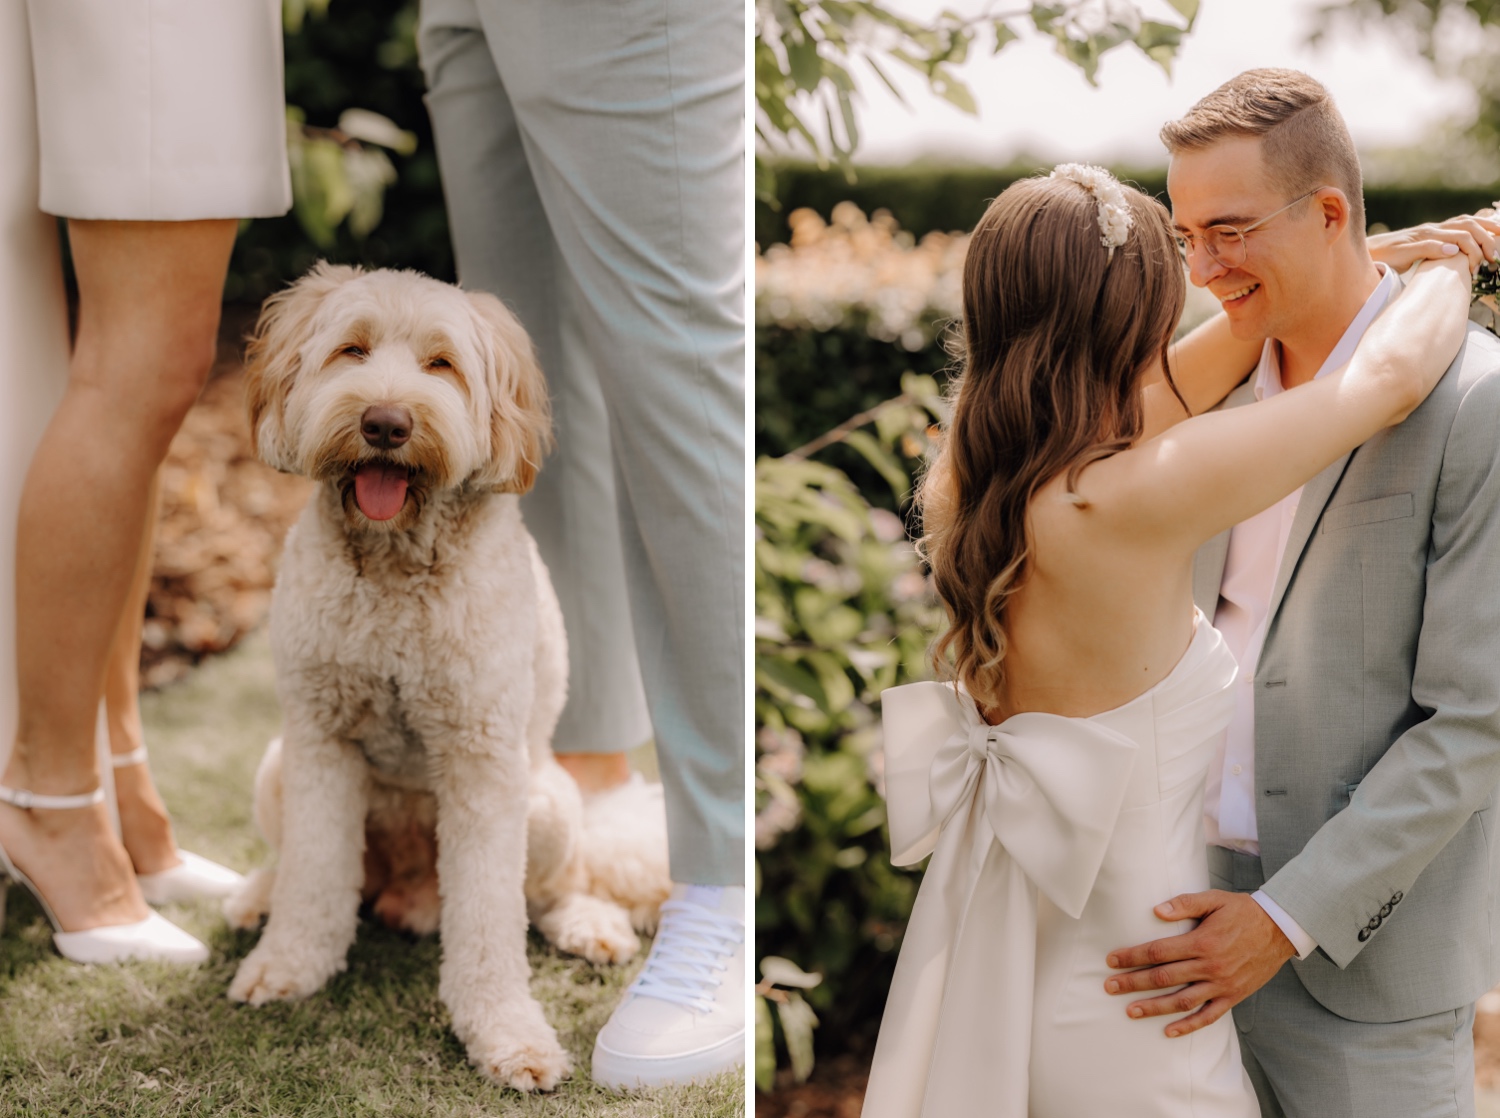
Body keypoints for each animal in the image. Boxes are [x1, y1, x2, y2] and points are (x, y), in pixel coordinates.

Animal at [223, 264, 669, 1092]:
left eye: (442, 365)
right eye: (352, 350)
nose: (385, 424)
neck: (395, 566)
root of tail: (405, 885)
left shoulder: (481, 761)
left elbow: (491, 922)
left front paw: (508, 1036)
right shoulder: (320, 742)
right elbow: (313, 876)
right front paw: (287, 964)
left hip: (546, 803)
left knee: (553, 886)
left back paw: (584, 922)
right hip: (276, 767)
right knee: (309, 867)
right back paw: (261, 895)